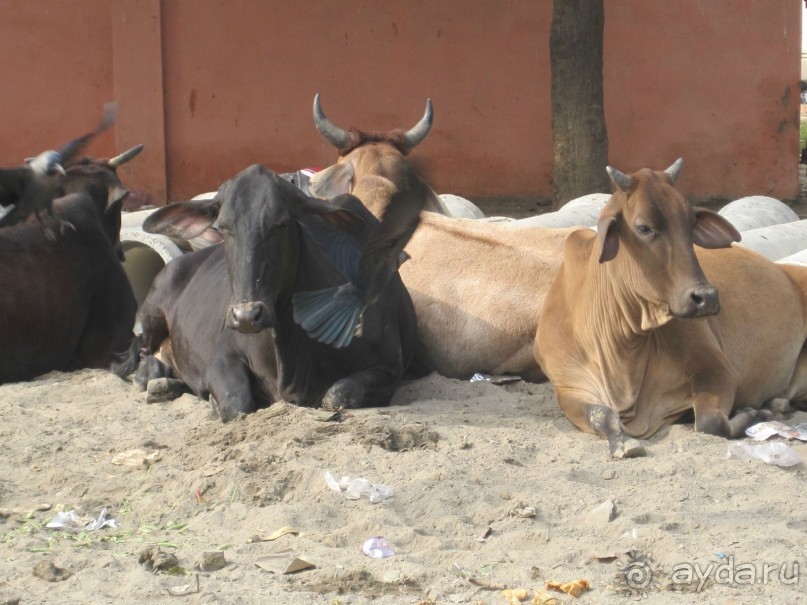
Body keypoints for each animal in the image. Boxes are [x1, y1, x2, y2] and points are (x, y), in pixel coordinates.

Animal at [129, 163, 420, 422]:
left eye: (280, 223)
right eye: (223, 227)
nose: (246, 315)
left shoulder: (389, 367)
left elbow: (336, 395)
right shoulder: (222, 356)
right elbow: (237, 403)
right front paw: (213, 402)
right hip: (153, 312)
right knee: (143, 352)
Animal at [532, 159, 807, 458]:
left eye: (691, 223)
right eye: (643, 227)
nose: (706, 296)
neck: (623, 350)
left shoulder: (717, 369)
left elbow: (711, 422)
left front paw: (756, 413)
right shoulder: (568, 388)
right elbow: (601, 415)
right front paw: (623, 443)